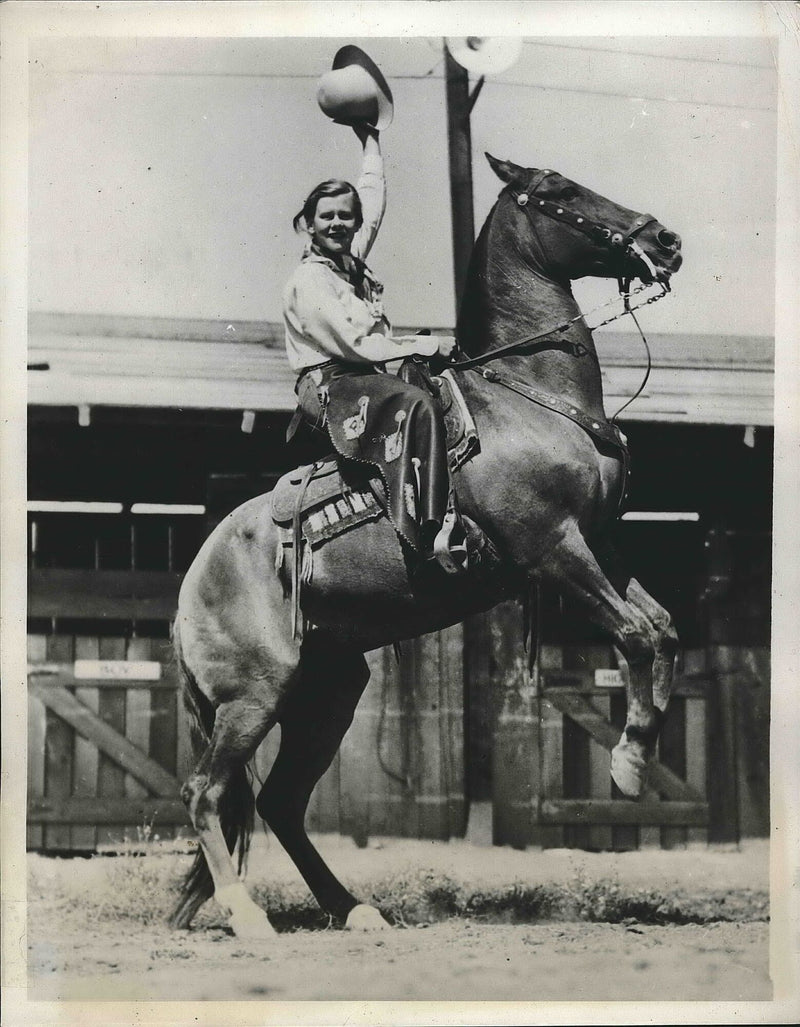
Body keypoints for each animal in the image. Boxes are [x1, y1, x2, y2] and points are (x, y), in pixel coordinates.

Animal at [167, 154, 681, 940]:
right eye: (560, 191)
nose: (665, 240)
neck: (524, 398)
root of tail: (194, 582)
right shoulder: (554, 548)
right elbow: (634, 636)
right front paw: (627, 762)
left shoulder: (600, 543)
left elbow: (662, 630)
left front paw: (641, 756)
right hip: (253, 696)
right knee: (207, 791)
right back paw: (247, 914)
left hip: (327, 693)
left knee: (280, 802)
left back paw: (354, 909)